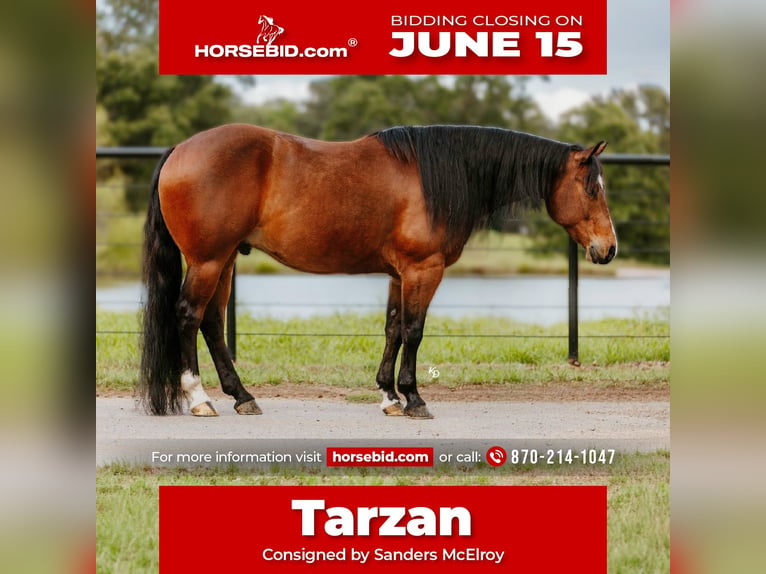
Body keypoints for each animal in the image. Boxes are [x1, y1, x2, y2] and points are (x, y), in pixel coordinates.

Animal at [140, 124, 616, 419]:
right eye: (592, 189)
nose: (608, 248)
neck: (439, 177)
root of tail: (180, 149)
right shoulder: (424, 270)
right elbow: (414, 331)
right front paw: (414, 398)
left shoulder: (398, 274)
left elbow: (392, 329)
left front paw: (388, 395)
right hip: (208, 260)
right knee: (188, 316)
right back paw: (199, 398)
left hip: (224, 261)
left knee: (212, 322)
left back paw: (242, 397)